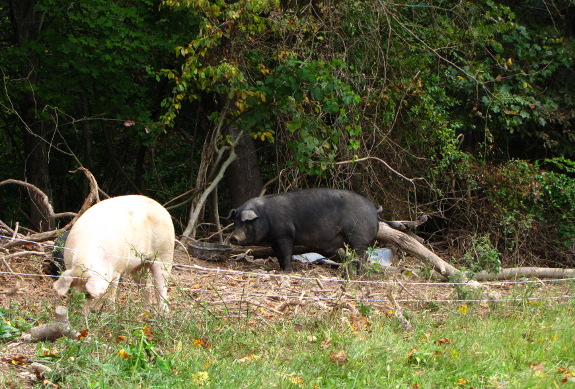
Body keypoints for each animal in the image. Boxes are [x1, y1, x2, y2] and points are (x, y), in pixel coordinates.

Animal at [230, 188, 382, 270]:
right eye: (235, 221)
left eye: (246, 223)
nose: (233, 238)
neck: (264, 216)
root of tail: (374, 209)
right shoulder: (275, 240)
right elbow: (278, 255)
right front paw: (281, 269)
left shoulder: (285, 235)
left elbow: (286, 253)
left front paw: (288, 271)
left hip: (358, 236)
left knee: (362, 256)